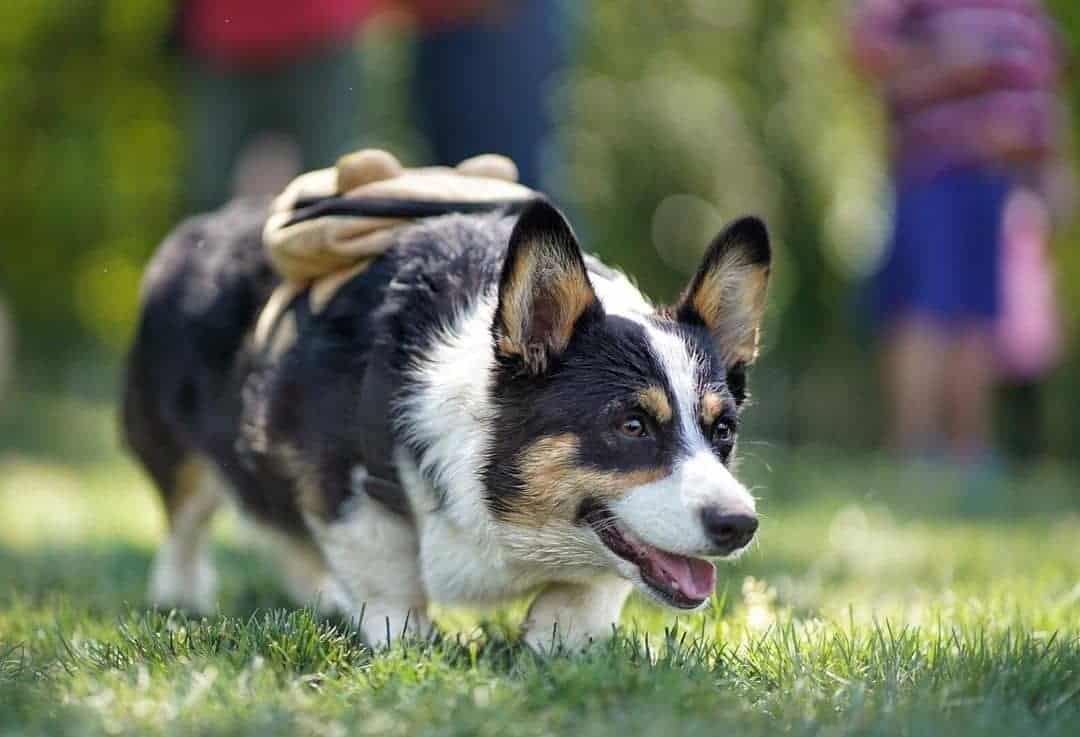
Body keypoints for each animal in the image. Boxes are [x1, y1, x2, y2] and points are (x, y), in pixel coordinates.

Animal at [122, 196, 773, 648]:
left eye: (723, 432)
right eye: (633, 426)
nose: (740, 525)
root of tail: (209, 222)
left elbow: (587, 595)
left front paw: (557, 644)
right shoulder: (342, 485)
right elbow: (387, 578)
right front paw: (404, 644)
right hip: (174, 448)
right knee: (187, 520)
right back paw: (182, 596)